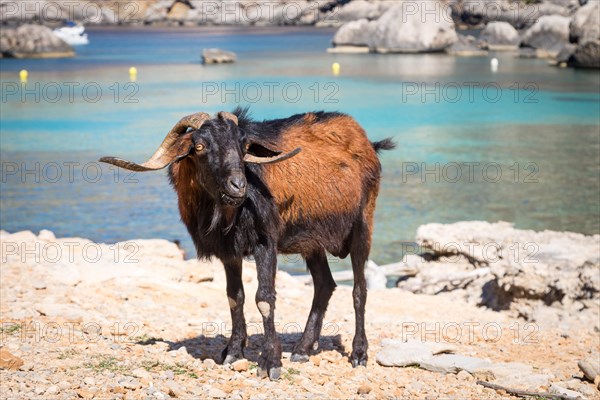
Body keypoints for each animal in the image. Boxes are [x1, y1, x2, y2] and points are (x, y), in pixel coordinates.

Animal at [101, 108, 396, 380]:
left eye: (244, 147)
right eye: (200, 146)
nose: (238, 187)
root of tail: (368, 143)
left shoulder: (266, 242)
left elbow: (264, 298)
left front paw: (271, 362)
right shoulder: (228, 251)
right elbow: (235, 297)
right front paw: (233, 352)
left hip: (362, 224)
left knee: (359, 289)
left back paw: (359, 353)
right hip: (311, 241)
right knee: (325, 284)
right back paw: (302, 348)